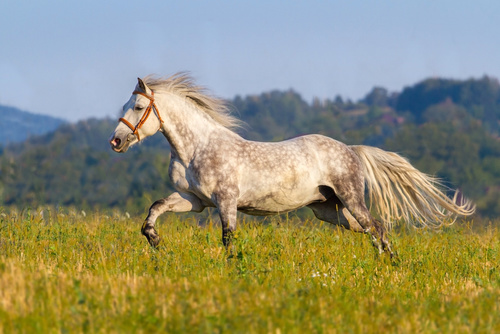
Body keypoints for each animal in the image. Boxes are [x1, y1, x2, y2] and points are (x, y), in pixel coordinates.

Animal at [108, 73, 472, 256]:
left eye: (138, 106)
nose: (116, 142)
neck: (197, 148)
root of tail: (351, 149)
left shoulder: (226, 201)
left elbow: (228, 238)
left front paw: (232, 267)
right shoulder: (194, 201)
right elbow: (156, 207)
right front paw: (155, 240)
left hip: (351, 198)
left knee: (377, 227)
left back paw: (390, 266)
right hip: (329, 210)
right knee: (373, 229)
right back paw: (385, 263)